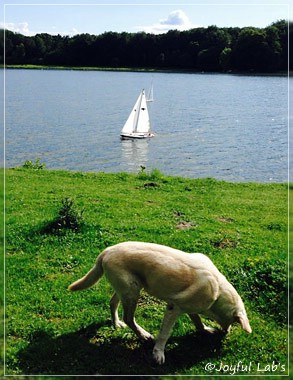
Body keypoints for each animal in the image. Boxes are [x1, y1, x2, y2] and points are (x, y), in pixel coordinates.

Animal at [68, 242, 251, 364]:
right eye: (234, 321)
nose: (226, 333)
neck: (218, 291)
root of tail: (106, 251)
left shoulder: (189, 307)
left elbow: (197, 320)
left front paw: (205, 330)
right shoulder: (173, 308)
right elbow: (165, 334)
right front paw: (158, 353)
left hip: (127, 289)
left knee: (112, 303)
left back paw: (116, 323)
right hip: (132, 292)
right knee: (129, 318)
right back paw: (143, 334)